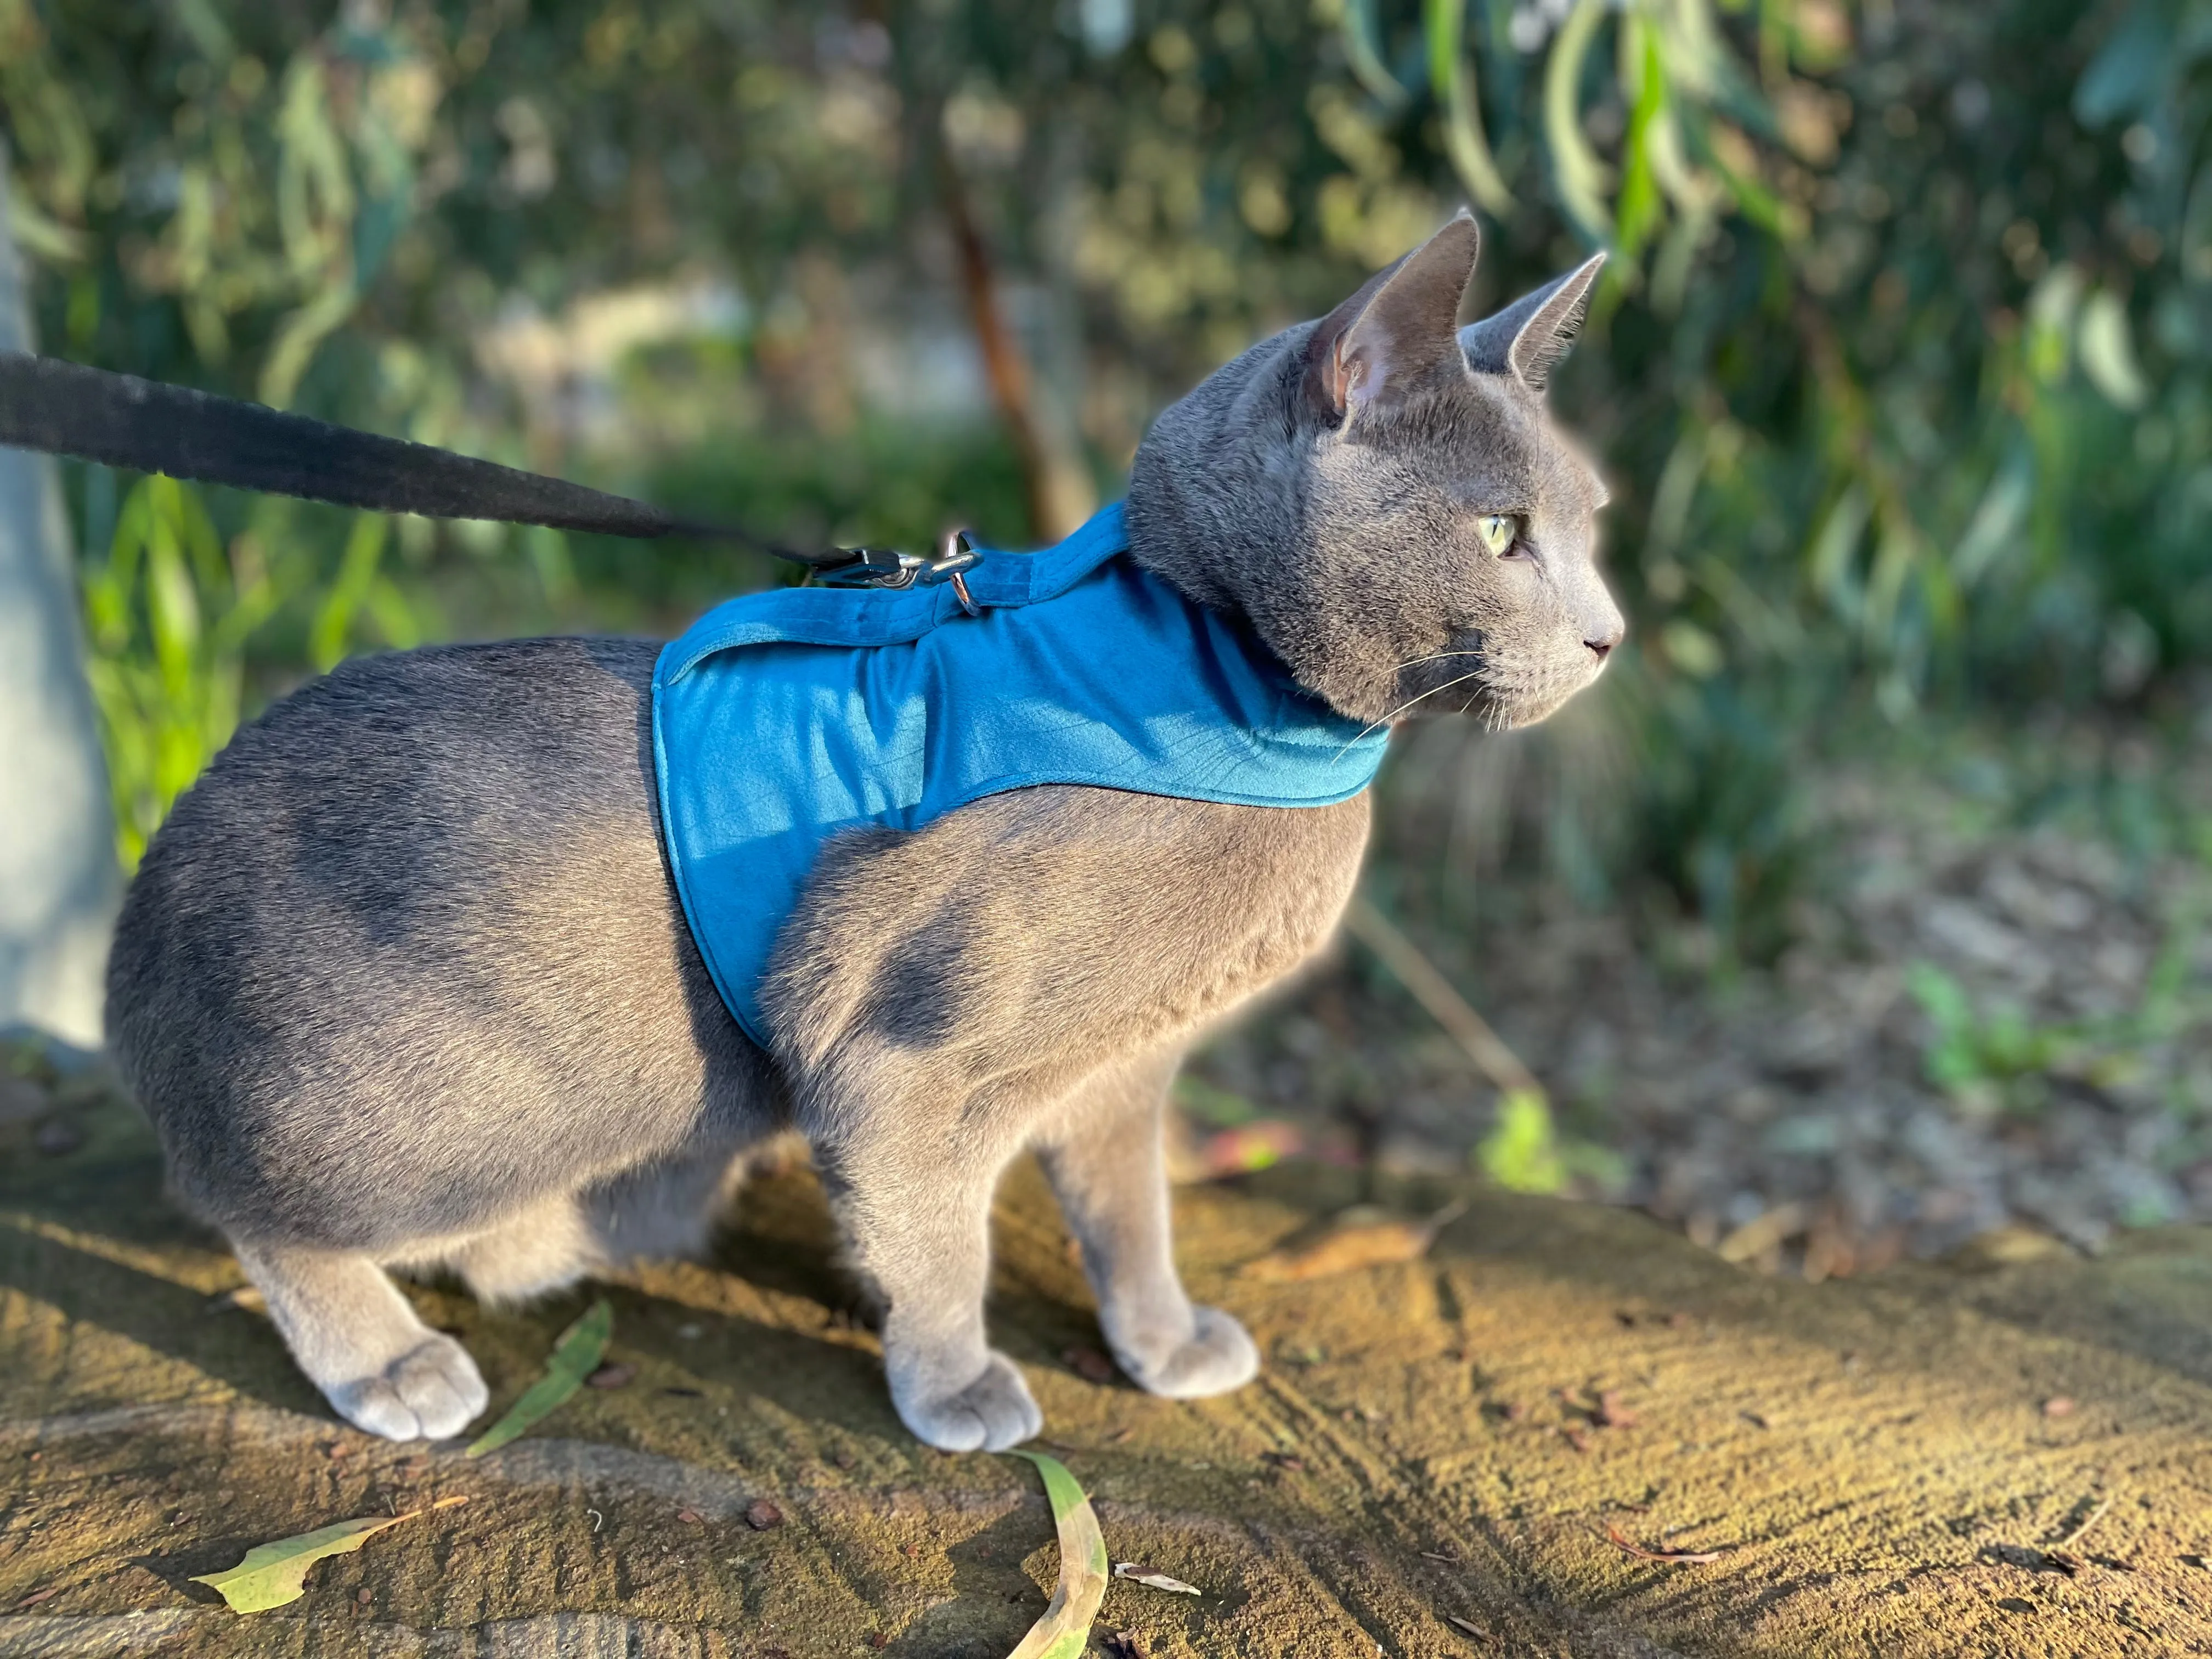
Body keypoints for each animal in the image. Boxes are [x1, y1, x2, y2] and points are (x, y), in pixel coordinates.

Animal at [108, 218, 1628, 1451]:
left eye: (1591, 524)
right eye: (1501, 531)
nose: (1613, 635)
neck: (1206, 672)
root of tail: (139, 920)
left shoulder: (1122, 1064)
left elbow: (1131, 1213)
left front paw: (1162, 1343)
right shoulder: (893, 1041)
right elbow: (936, 1240)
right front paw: (954, 1387)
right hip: (453, 1107)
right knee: (253, 1208)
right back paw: (391, 1362)